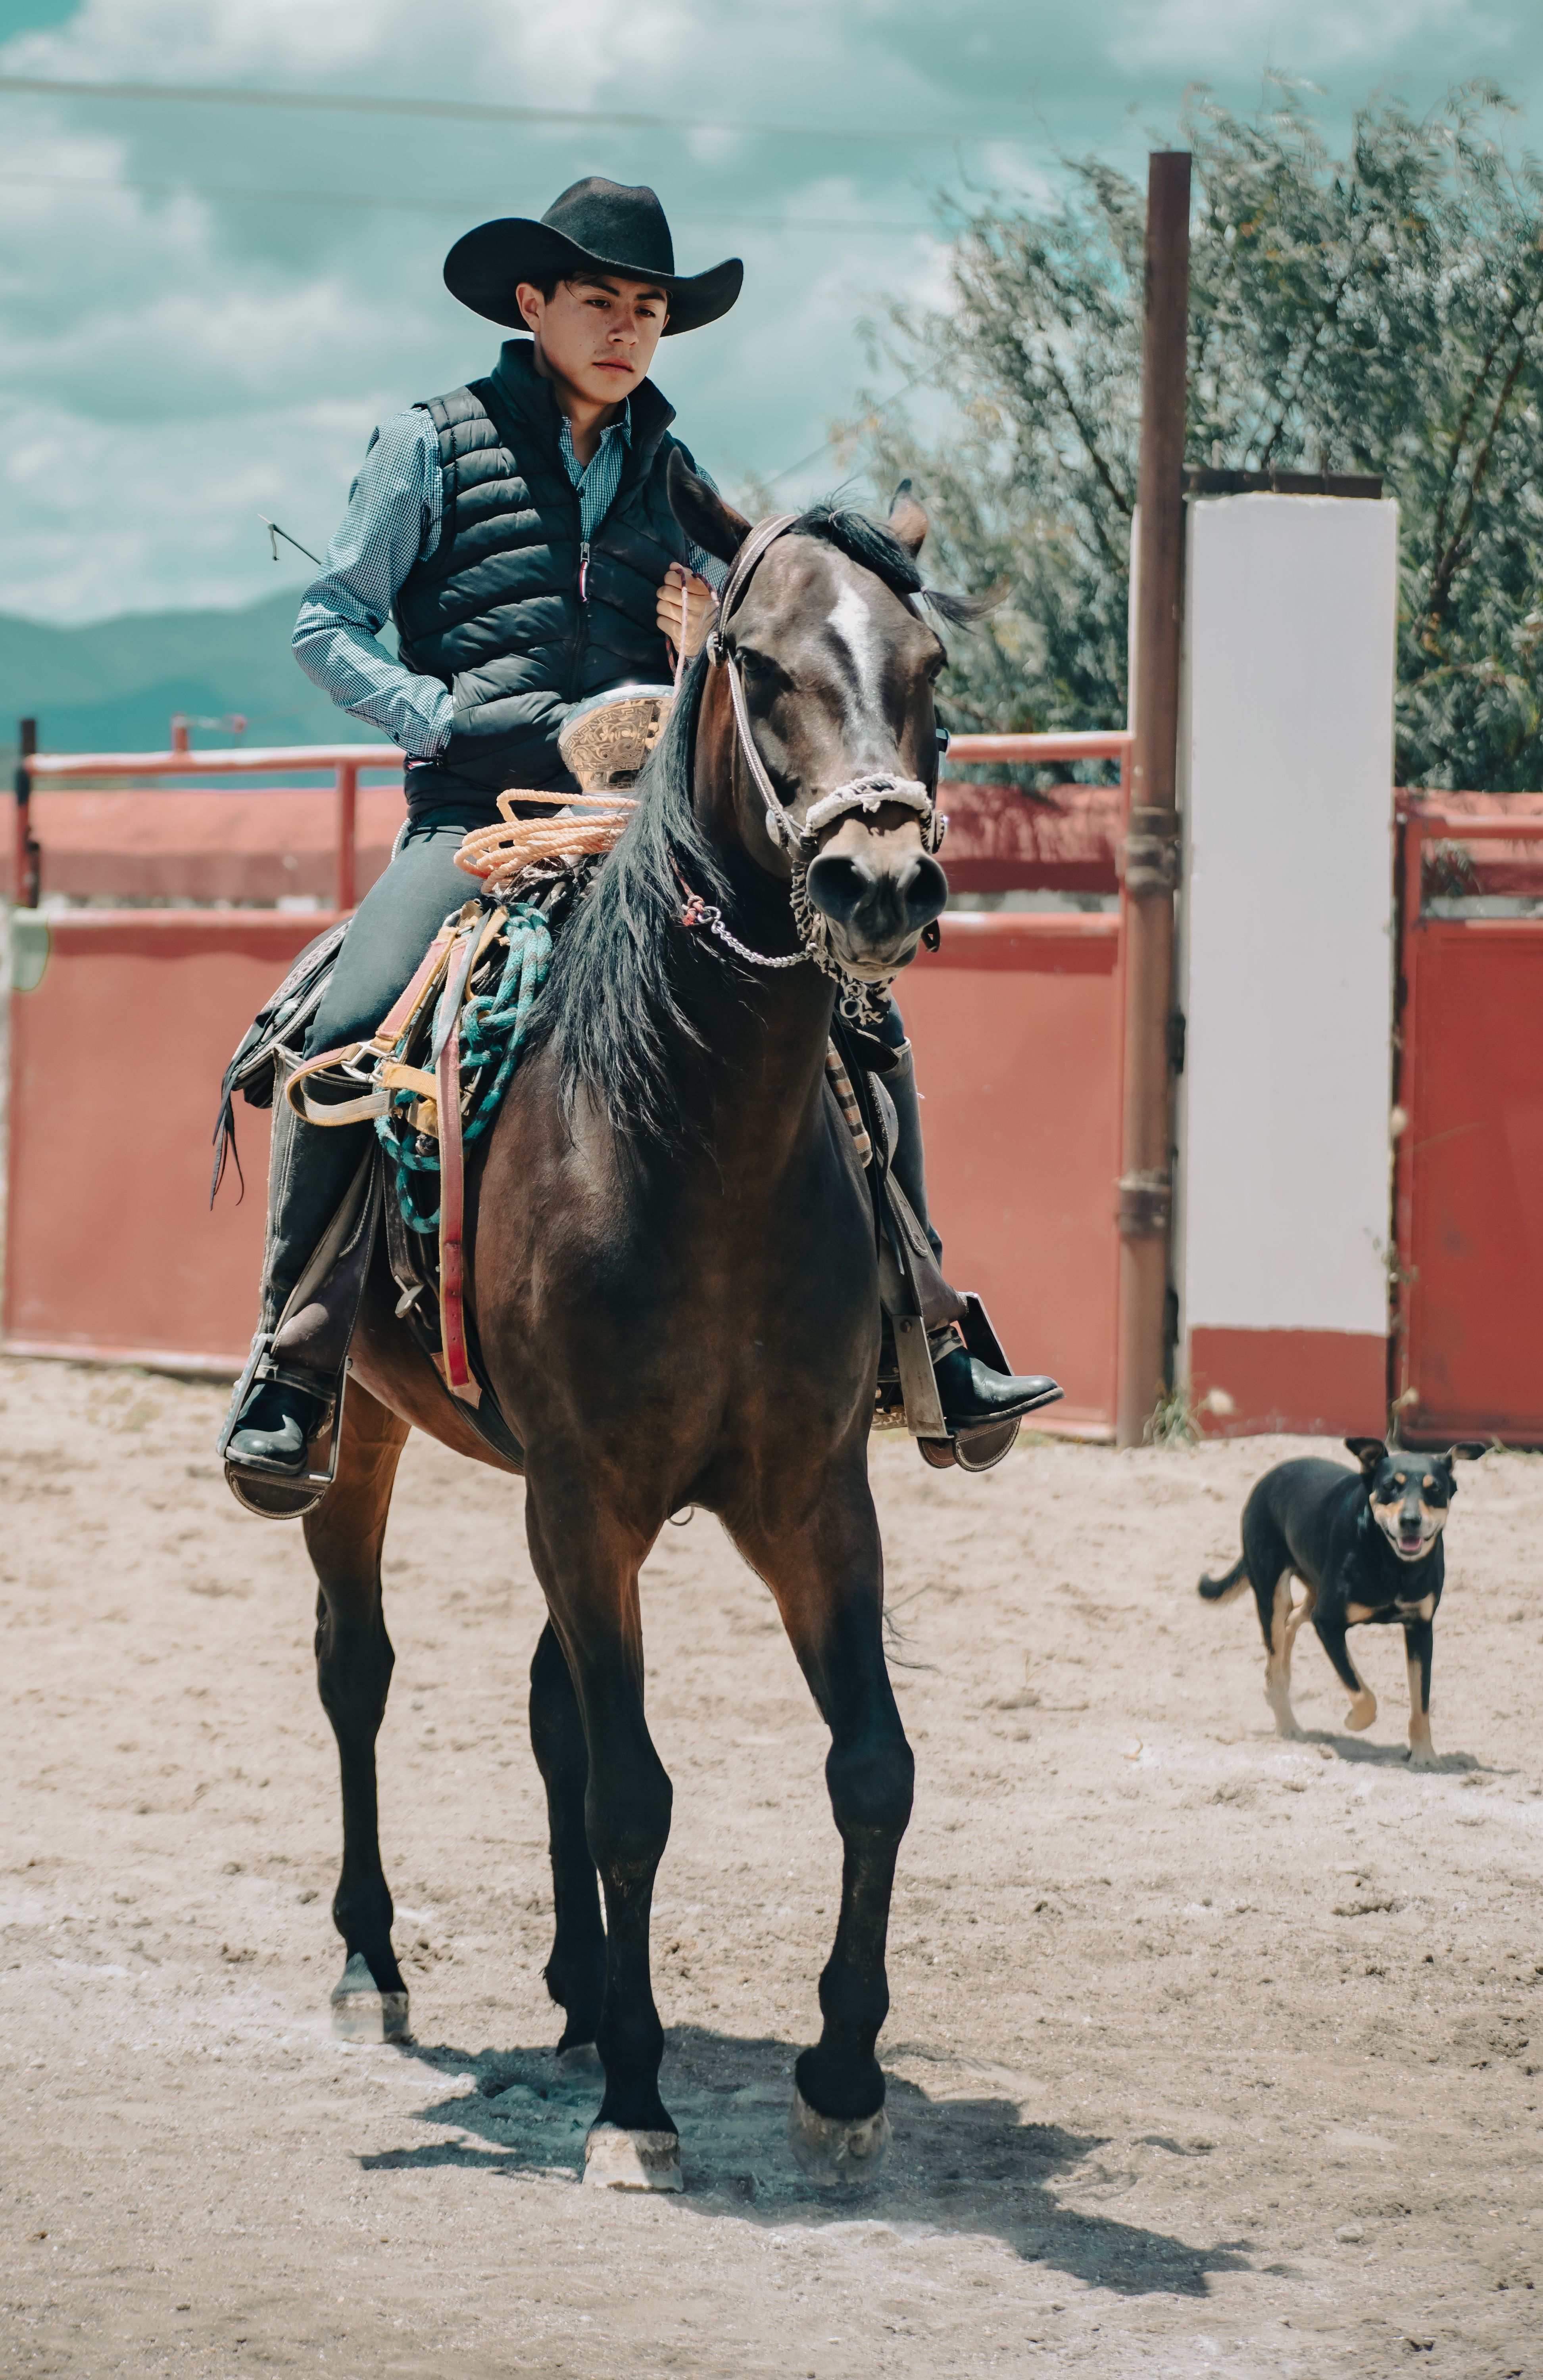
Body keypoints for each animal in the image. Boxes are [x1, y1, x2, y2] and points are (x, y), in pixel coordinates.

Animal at [301, 461, 973, 2191]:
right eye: (762, 664)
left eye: (930, 672)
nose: (880, 884)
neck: (685, 1141)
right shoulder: (588, 1496)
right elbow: (631, 1798)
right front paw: (635, 2103)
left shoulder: (807, 1496)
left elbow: (872, 1768)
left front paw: (842, 2076)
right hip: (360, 1435)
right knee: (357, 1669)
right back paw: (371, 1964)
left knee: (548, 1711)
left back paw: (572, 1988)